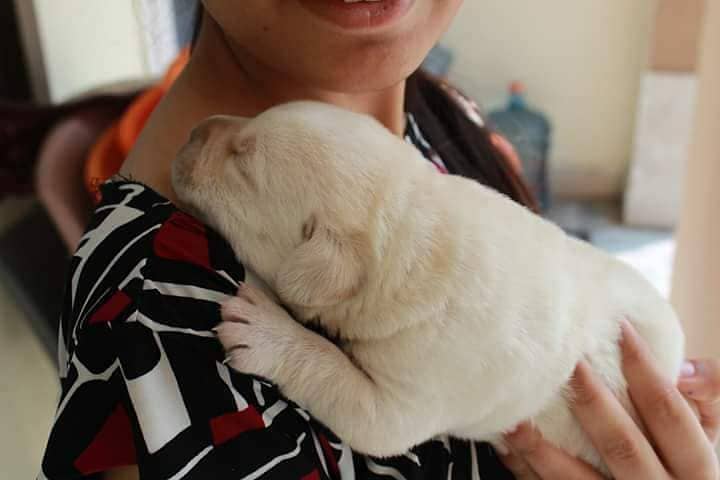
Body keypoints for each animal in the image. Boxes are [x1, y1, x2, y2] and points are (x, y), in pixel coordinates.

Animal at [172, 100, 684, 472]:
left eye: (243, 162)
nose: (194, 129)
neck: (407, 233)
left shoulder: (407, 397)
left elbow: (347, 394)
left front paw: (264, 331)